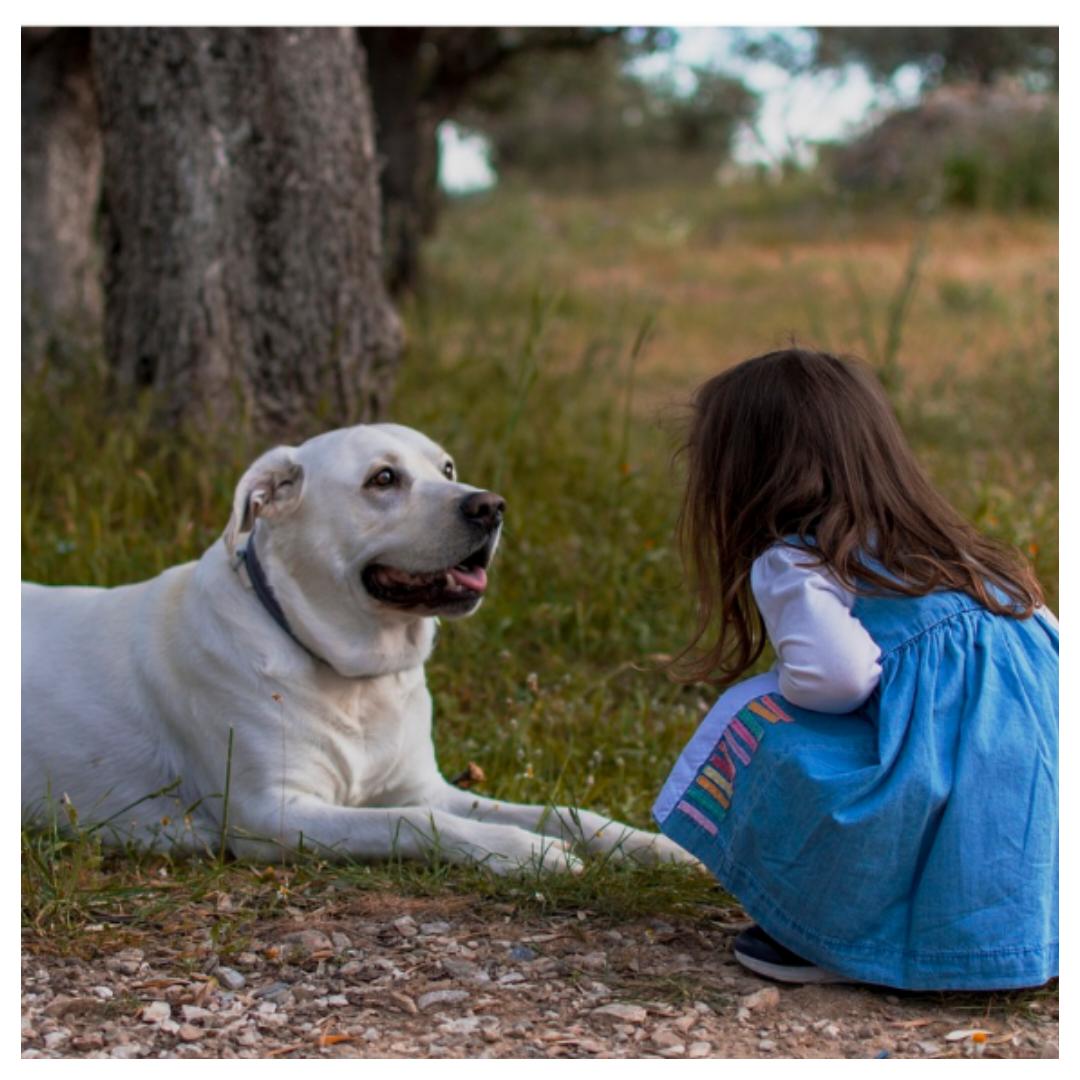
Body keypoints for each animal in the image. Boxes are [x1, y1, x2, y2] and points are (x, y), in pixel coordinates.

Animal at [23, 423, 691, 876]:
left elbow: (564, 811)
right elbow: (412, 822)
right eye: (383, 479)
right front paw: (527, 852)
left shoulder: (429, 787)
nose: (492, 506)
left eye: (448, 468)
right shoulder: (273, 815)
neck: (356, 676)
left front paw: (654, 845)